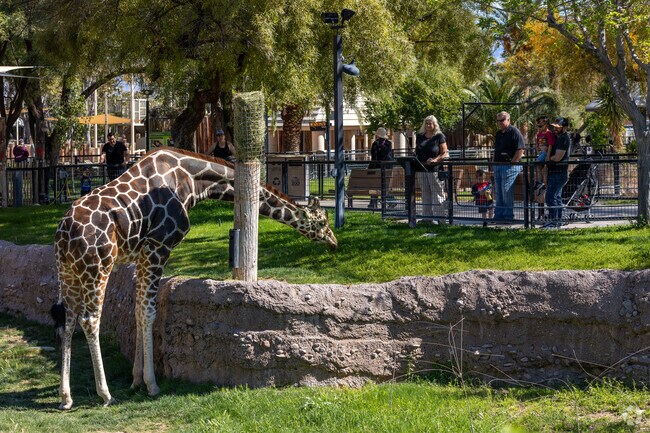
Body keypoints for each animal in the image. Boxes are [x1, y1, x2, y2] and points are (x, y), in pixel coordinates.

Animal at [52, 148, 337, 410]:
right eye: (322, 222)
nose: (334, 242)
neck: (194, 180)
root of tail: (64, 232)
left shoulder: (142, 254)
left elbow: (138, 311)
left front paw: (136, 380)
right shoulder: (159, 247)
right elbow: (149, 312)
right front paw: (152, 385)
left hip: (68, 271)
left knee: (68, 320)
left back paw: (66, 397)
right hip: (98, 267)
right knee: (90, 320)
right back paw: (105, 394)